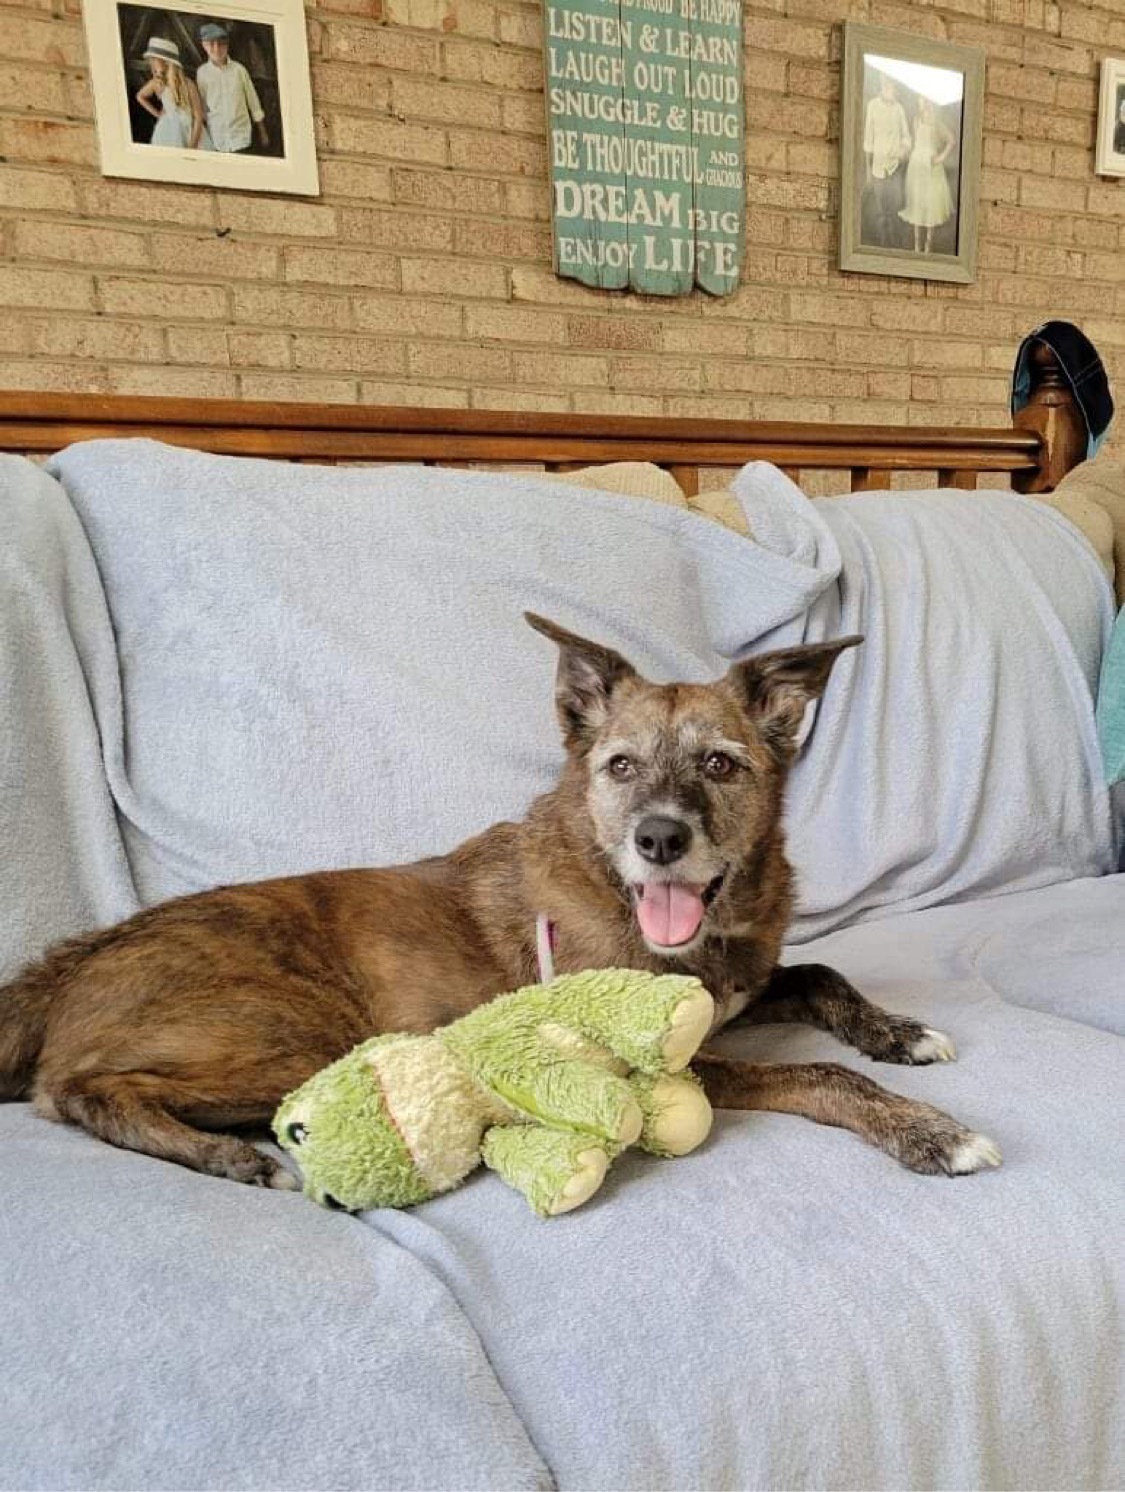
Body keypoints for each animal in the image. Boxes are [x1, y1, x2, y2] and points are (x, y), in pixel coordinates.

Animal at [0, 611, 996, 1181]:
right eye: (619, 766)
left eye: (720, 764)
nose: (659, 840)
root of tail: (72, 960)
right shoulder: (657, 1060)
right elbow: (815, 1073)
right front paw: (927, 1131)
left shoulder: (742, 987)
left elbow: (819, 972)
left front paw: (898, 1031)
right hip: (294, 1035)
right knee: (73, 1091)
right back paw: (219, 1153)